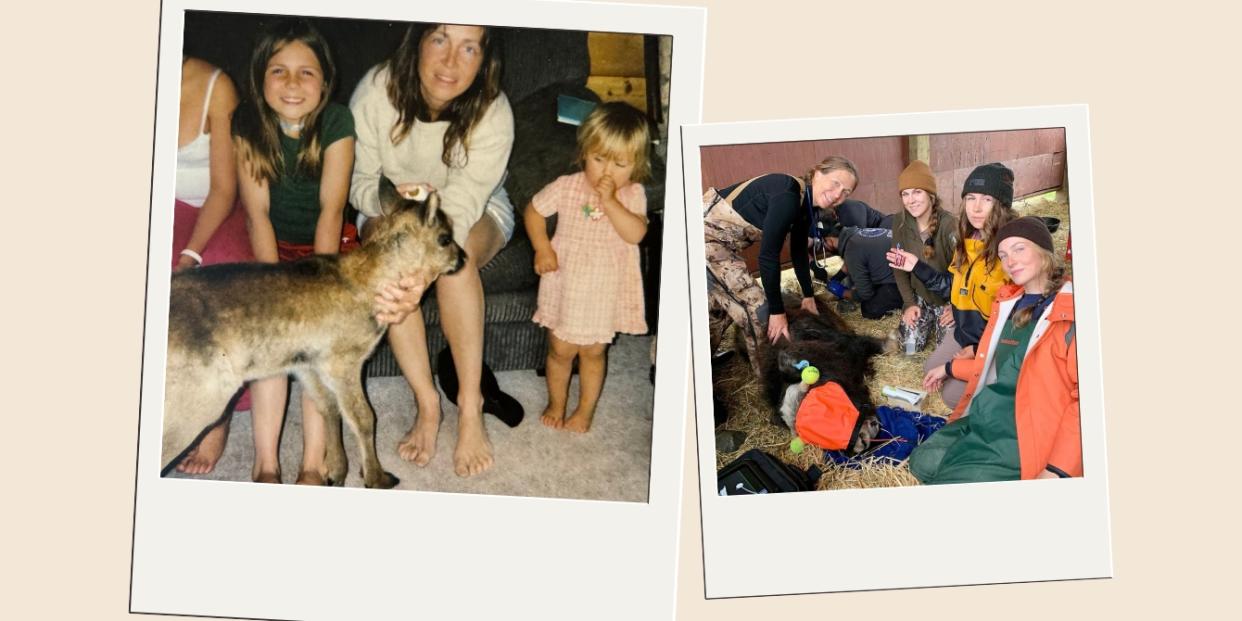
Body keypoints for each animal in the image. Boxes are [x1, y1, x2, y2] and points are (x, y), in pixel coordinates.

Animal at [160, 180, 462, 489]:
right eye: (444, 238)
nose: (461, 259)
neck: (371, 284)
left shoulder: (308, 363)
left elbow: (328, 407)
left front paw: (336, 473)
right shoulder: (342, 360)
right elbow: (364, 417)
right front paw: (378, 478)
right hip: (198, 397)